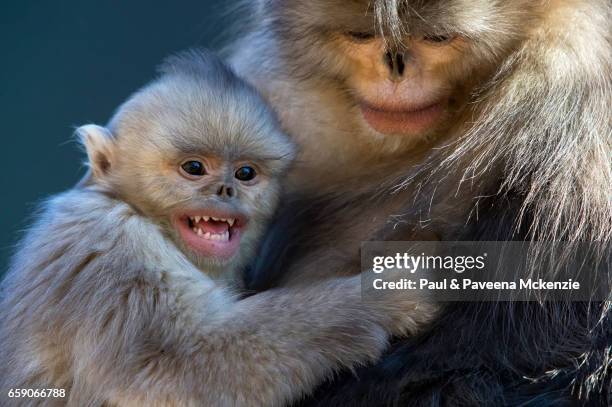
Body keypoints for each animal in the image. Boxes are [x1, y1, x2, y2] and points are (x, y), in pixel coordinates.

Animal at [0, 51, 436, 407]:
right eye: (194, 168)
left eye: (245, 173)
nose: (226, 189)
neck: (132, 209)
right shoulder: (112, 248)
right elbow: (175, 369)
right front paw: (383, 295)